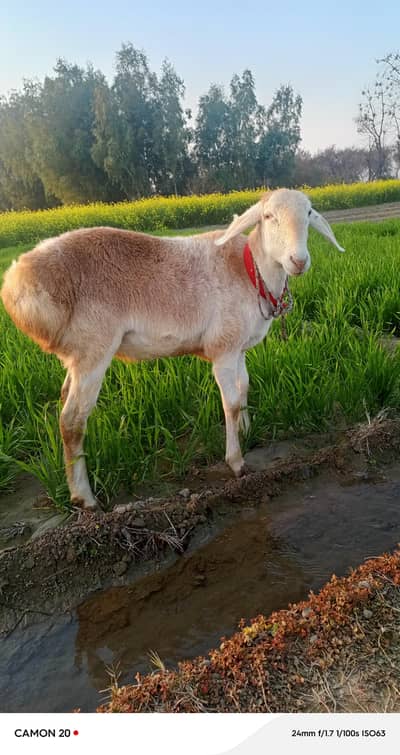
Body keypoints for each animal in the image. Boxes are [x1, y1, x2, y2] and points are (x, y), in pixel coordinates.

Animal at [1, 189, 344, 511]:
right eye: (269, 216)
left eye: (309, 213)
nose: (298, 261)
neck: (250, 271)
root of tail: (18, 280)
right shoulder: (222, 348)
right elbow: (231, 403)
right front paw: (236, 462)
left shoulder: (238, 347)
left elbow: (244, 388)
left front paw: (247, 432)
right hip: (93, 348)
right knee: (72, 421)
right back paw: (84, 497)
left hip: (76, 355)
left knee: (64, 403)